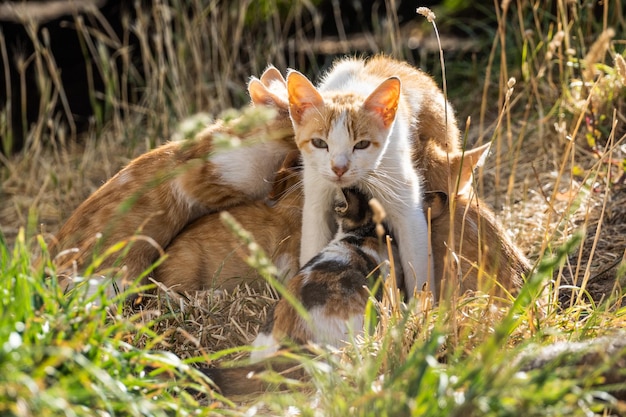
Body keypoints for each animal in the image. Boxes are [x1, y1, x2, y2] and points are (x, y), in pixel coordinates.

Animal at [282, 55, 458, 296]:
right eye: (319, 143)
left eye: (362, 145)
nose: (339, 168)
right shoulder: (316, 194)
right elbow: (313, 243)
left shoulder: (407, 205)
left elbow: (418, 266)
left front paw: (420, 305)